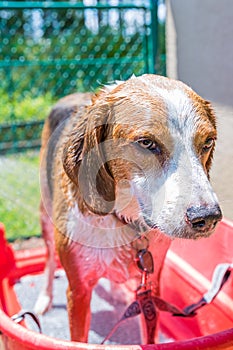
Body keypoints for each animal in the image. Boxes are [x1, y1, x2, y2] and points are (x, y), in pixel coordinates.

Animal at [34, 75, 222, 344]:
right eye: (147, 143)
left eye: (208, 142)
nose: (207, 217)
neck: (121, 218)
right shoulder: (78, 292)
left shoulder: (150, 290)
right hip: (46, 217)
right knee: (49, 261)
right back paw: (45, 298)